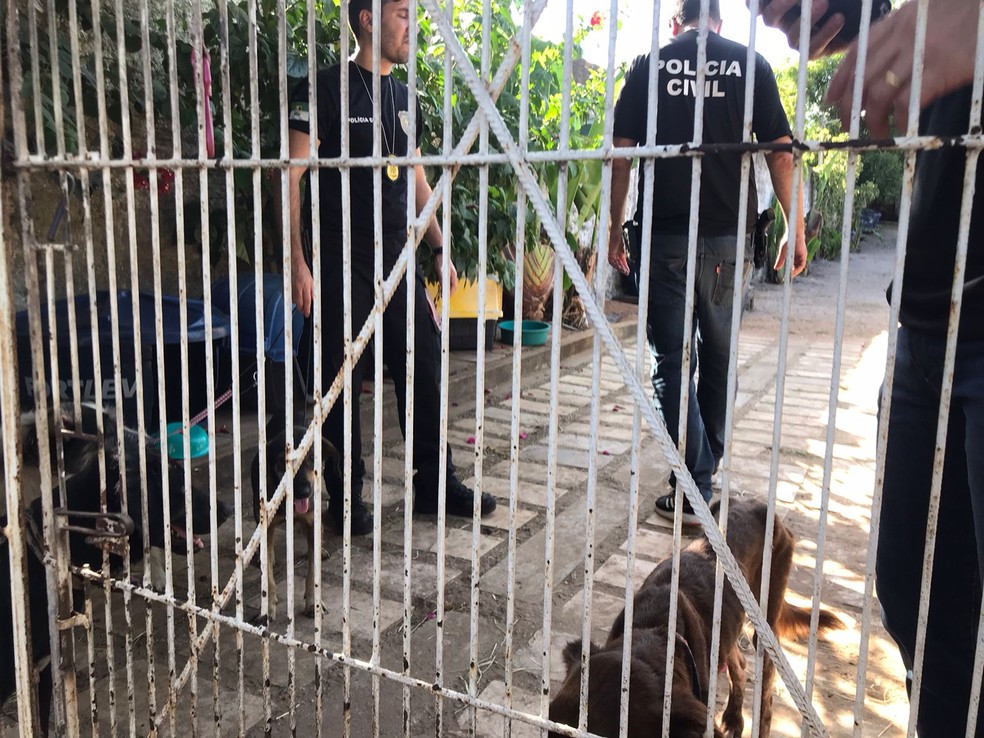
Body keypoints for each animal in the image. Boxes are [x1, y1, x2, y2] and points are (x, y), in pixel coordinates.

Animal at [252, 420, 340, 620]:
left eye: (313, 457)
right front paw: (268, 607)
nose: (303, 492)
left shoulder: (312, 521)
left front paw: (313, 603)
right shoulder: (267, 524)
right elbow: (268, 576)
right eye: (281, 461)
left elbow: (313, 571)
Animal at [548, 498, 840, 732]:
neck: (653, 628)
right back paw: (734, 718)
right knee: (738, 663)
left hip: (766, 622)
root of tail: (758, 505)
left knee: (765, 695)